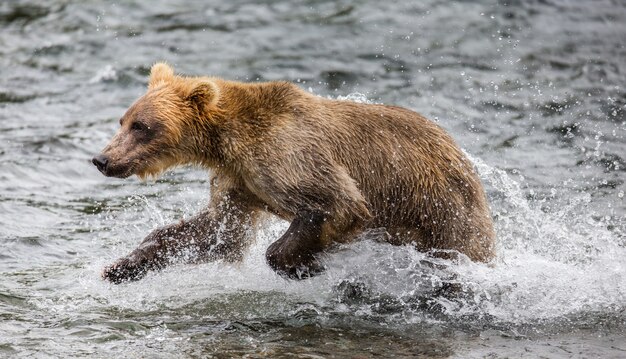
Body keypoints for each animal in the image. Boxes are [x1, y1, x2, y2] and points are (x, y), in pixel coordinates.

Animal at [92, 62, 492, 284]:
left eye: (142, 126)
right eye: (123, 120)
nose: (102, 159)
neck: (226, 144)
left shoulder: (285, 154)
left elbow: (336, 201)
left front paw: (303, 266)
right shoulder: (240, 182)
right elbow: (218, 233)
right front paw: (121, 266)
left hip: (441, 207)